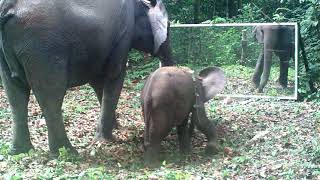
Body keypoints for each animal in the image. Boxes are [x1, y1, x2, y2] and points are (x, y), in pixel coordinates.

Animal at [0, 0, 174, 155]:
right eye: (169, 26)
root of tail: (8, 7)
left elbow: (98, 83)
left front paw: (114, 128)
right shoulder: (123, 34)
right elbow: (115, 75)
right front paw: (107, 140)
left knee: (15, 97)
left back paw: (20, 151)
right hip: (43, 47)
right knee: (51, 96)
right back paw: (67, 153)